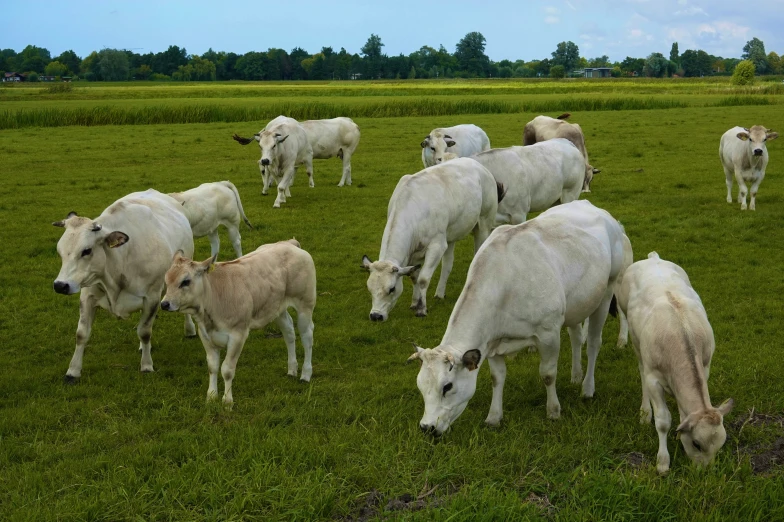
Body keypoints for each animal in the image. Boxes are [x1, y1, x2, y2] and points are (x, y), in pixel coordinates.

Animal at [52, 189, 196, 380]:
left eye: (87, 251)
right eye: (59, 251)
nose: (60, 285)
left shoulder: (152, 296)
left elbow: (145, 332)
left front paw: (146, 365)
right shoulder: (87, 294)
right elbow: (81, 334)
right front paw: (73, 371)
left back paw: (189, 329)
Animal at [159, 239, 316, 406]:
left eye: (185, 281)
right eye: (166, 280)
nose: (164, 304)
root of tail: (289, 243)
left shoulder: (238, 334)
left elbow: (227, 369)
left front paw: (227, 401)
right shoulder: (205, 334)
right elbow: (212, 366)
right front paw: (211, 396)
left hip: (305, 303)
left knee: (306, 336)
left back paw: (305, 374)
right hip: (277, 307)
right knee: (288, 331)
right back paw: (292, 370)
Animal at [362, 157, 502, 320]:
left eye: (391, 289)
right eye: (369, 288)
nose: (375, 316)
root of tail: (477, 164)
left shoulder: (437, 245)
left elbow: (423, 279)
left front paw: (422, 309)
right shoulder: (416, 251)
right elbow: (414, 276)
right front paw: (415, 303)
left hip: (484, 223)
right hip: (450, 235)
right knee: (448, 263)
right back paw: (439, 294)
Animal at [408, 201, 628, 432]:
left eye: (447, 386)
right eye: (420, 386)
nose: (426, 427)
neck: (504, 283)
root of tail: (595, 208)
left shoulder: (548, 333)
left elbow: (548, 374)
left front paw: (553, 411)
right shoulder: (491, 342)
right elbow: (497, 378)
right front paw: (494, 416)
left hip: (606, 291)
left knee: (593, 343)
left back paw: (587, 387)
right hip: (576, 305)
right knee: (576, 337)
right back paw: (576, 375)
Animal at [620, 251, 736, 472]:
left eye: (720, 445)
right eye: (697, 444)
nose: (705, 472)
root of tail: (653, 257)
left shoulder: (705, 367)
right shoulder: (654, 379)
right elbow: (663, 420)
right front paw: (663, 462)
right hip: (635, 340)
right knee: (641, 370)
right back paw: (645, 412)